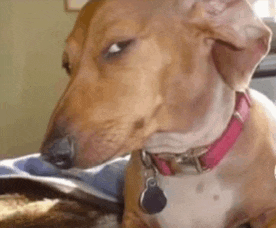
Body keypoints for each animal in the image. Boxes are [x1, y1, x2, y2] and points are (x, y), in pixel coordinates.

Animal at [39, 0, 276, 226]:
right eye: (66, 65)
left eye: (118, 46)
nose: (51, 154)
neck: (185, 160)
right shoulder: (132, 217)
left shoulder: (268, 213)